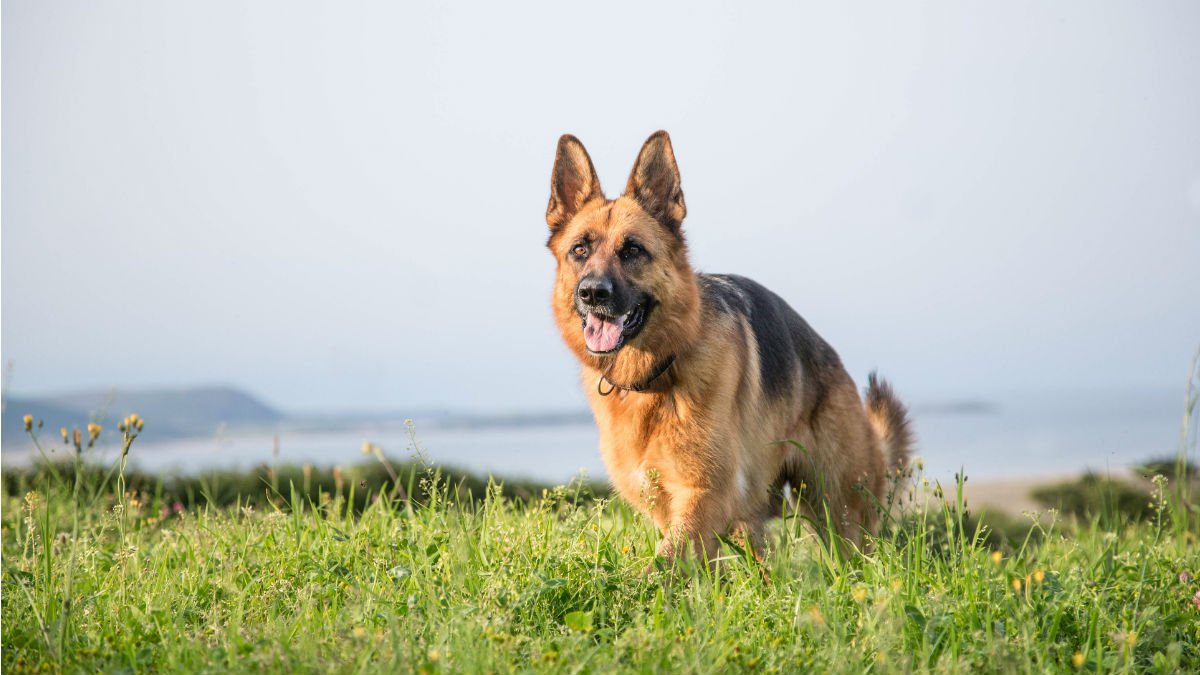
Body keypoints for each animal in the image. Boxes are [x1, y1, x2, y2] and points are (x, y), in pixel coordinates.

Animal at [544, 130, 907, 562]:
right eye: (579, 250)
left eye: (632, 250)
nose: (593, 293)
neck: (658, 374)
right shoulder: (677, 508)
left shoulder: (704, 496)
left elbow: (661, 567)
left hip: (840, 517)